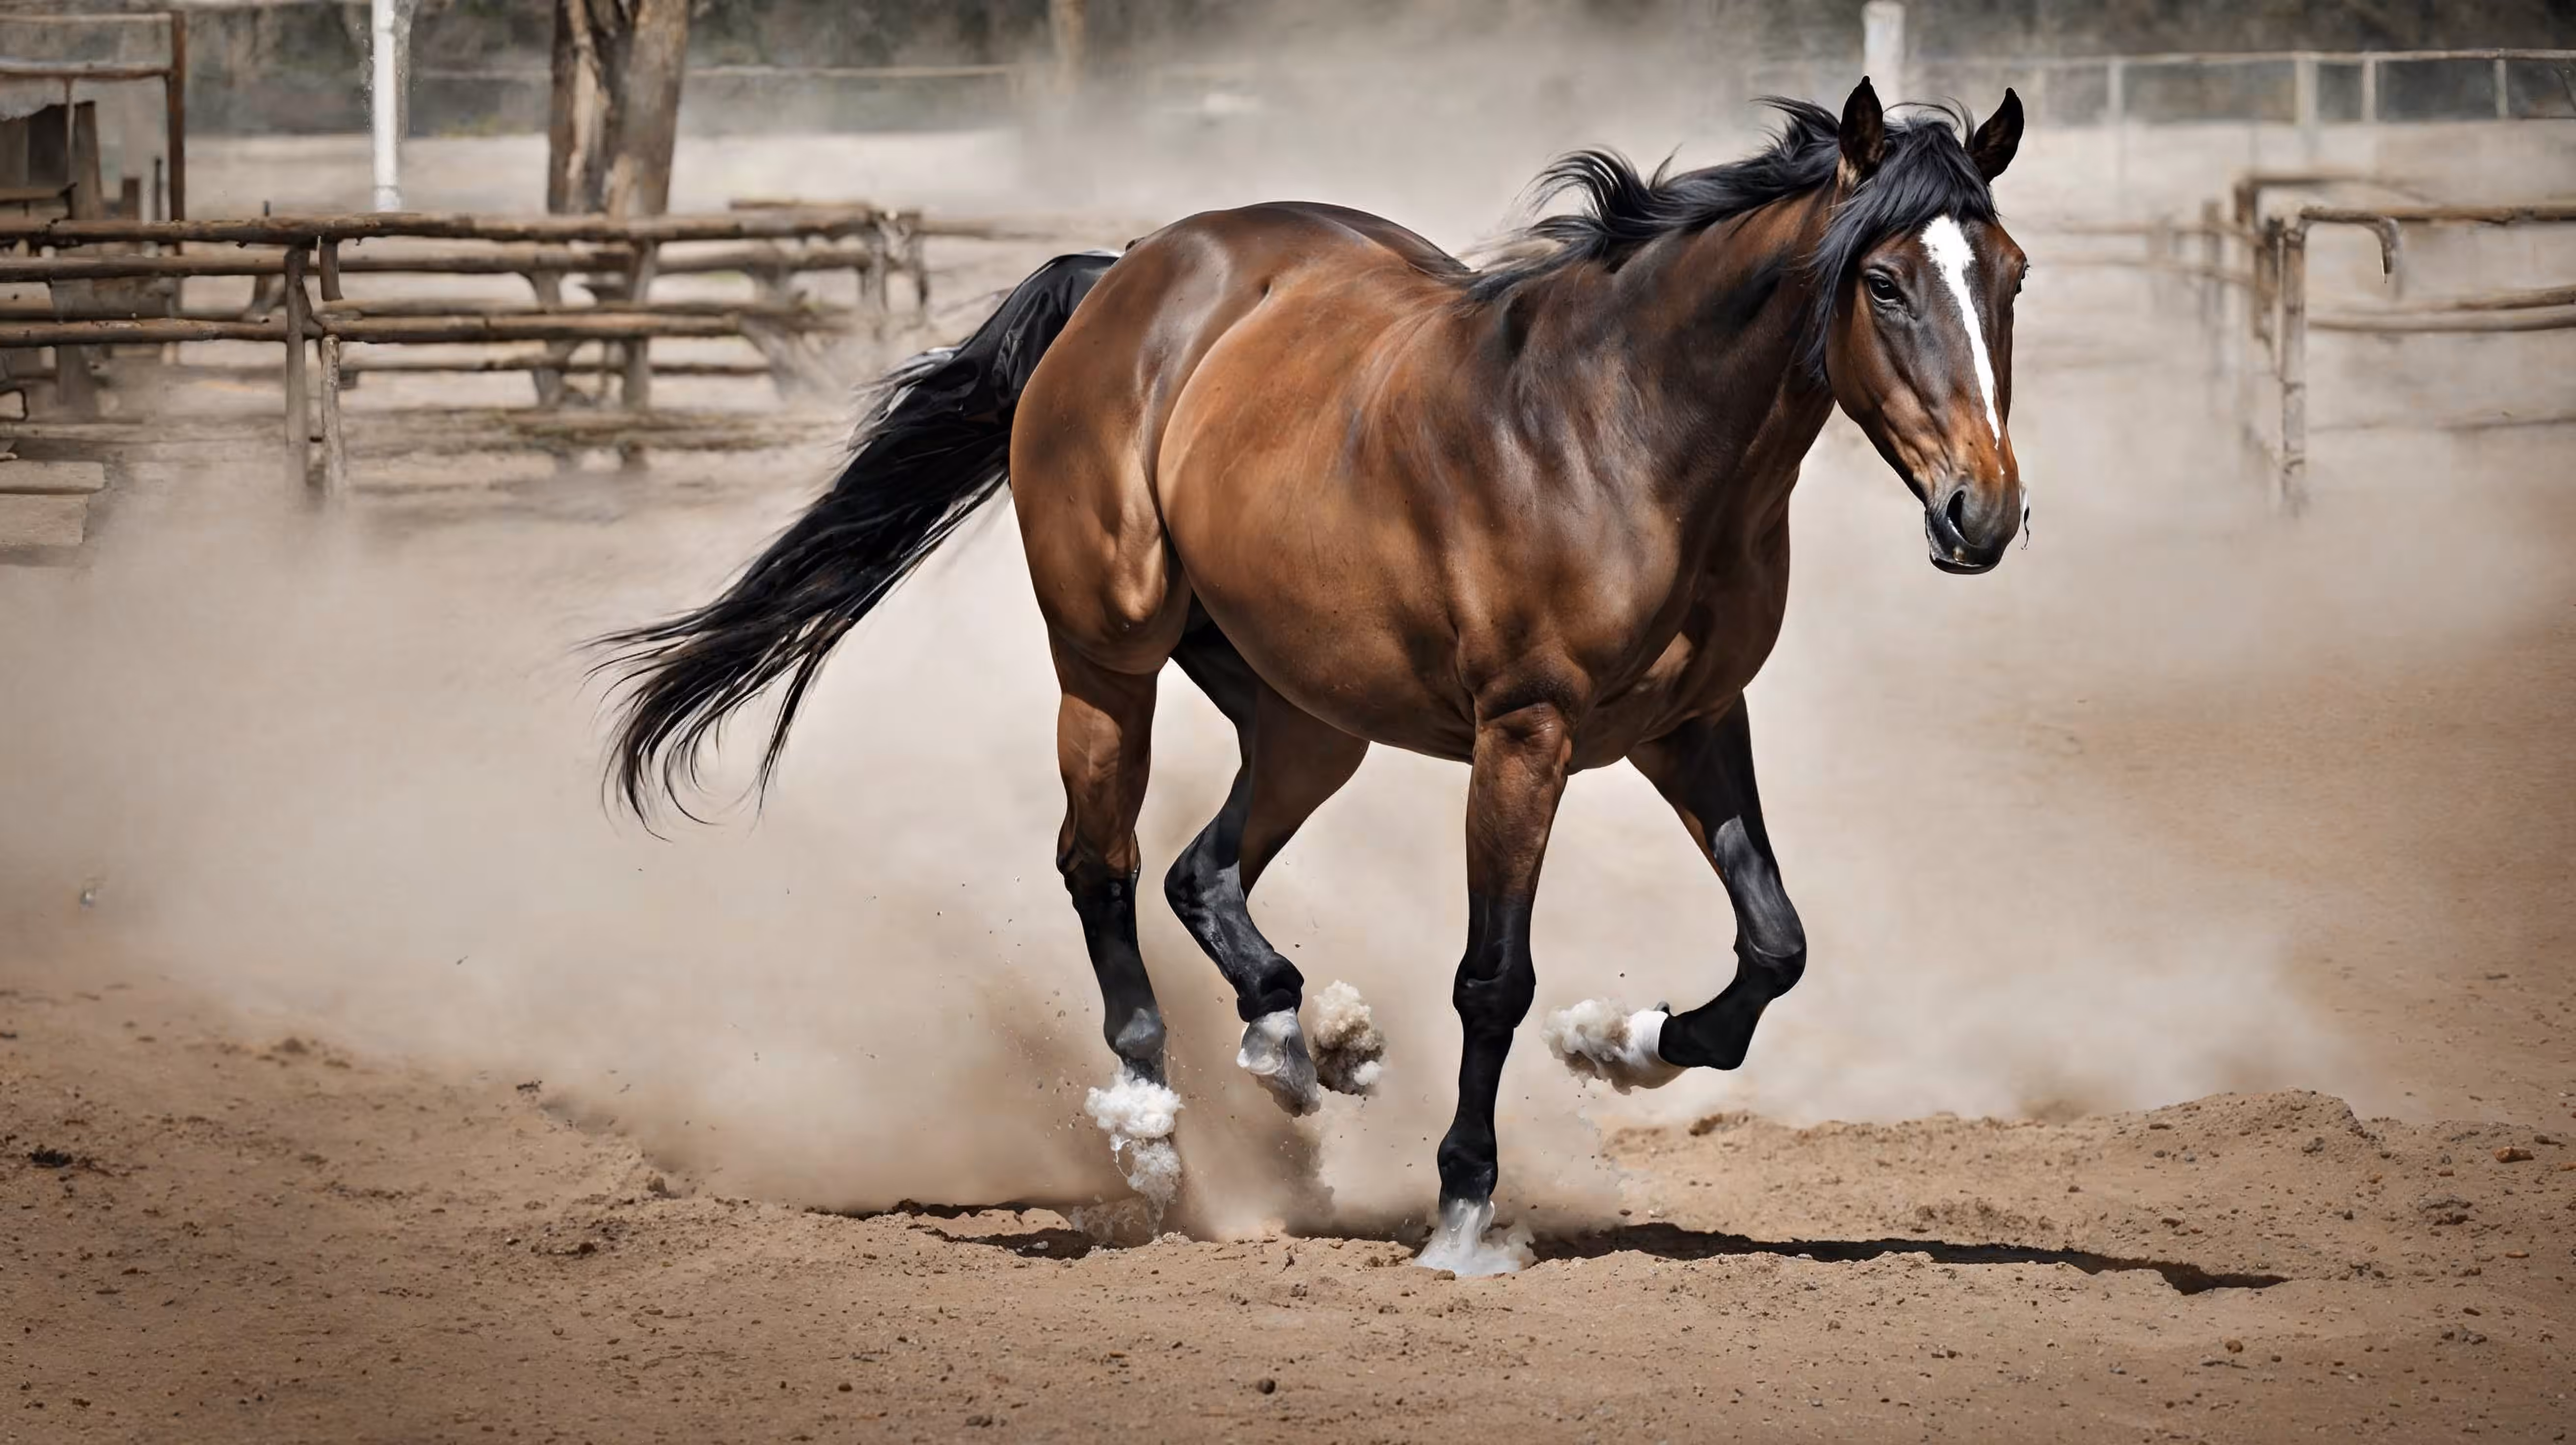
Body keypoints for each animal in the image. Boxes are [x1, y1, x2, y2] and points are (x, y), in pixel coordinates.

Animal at [598, 78, 2029, 1261]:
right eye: (1884, 282)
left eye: (2010, 277)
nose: (1985, 514)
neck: (1616, 431)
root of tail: (1125, 277)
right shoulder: (1527, 734)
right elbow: (1491, 977)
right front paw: (1464, 1213)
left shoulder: (1694, 722)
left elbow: (1773, 945)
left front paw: (1617, 1044)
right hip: (1108, 662)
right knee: (1101, 866)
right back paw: (1151, 1128)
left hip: (1307, 715)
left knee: (1200, 869)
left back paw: (1300, 1041)